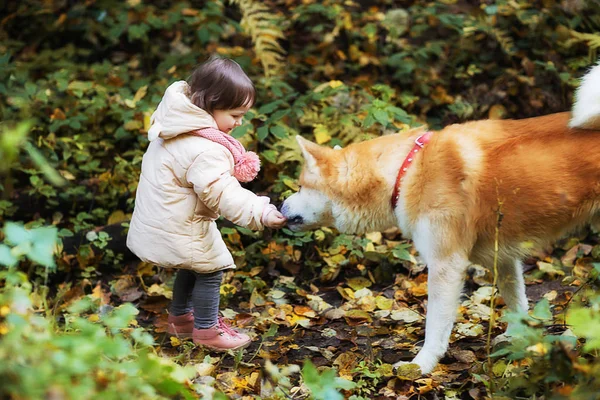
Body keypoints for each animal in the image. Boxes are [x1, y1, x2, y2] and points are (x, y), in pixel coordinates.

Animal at [280, 63, 600, 376]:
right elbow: (516, 303)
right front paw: (518, 338)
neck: (406, 171)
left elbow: (434, 326)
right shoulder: (503, 257)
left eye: (300, 186)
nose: (281, 205)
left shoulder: (446, 264)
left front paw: (420, 365)